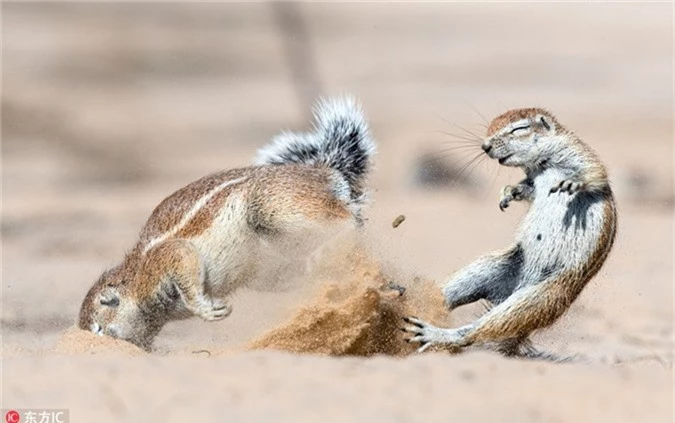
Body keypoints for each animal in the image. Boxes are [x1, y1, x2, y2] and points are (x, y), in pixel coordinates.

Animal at [80, 97, 374, 352]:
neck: (134, 279)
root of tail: (323, 170)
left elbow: (184, 265)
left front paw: (208, 310)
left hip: (273, 206)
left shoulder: (164, 261)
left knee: (347, 219)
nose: (94, 344)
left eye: (97, 328)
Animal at [404, 107, 620, 360]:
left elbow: (596, 173)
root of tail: (508, 292)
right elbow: (527, 188)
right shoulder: (532, 178)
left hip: (540, 299)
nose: (485, 146)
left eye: (519, 129)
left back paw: (435, 333)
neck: (543, 165)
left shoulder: (579, 152)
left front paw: (572, 183)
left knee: (480, 330)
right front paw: (508, 193)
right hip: (486, 268)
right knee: (449, 296)